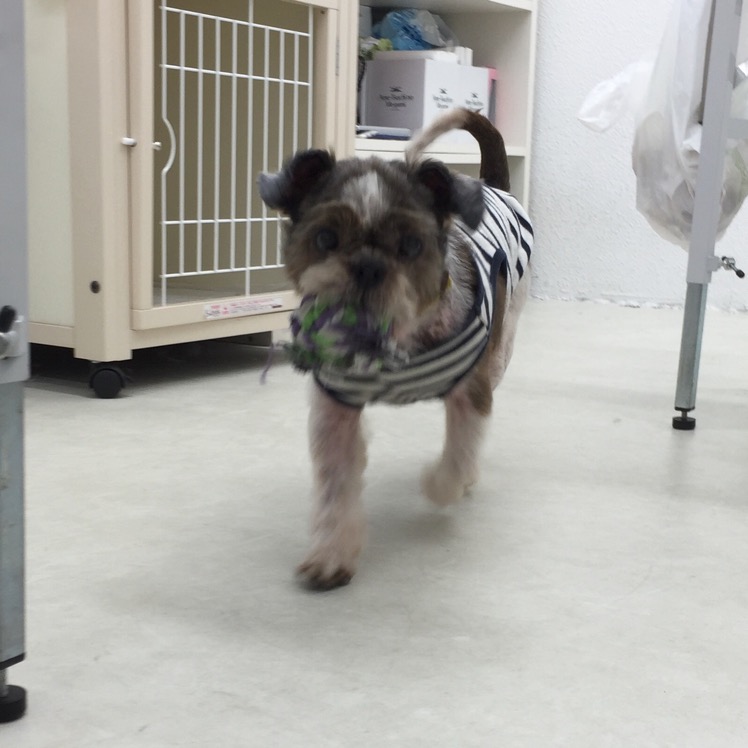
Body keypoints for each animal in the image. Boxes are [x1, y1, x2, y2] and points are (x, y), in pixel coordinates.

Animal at [259, 108, 533, 589]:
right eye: (325, 239)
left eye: (411, 245)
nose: (368, 267)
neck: (389, 343)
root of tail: (494, 186)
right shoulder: (336, 406)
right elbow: (335, 484)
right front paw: (330, 554)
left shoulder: (472, 393)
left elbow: (458, 454)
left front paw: (441, 484)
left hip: (501, 349)